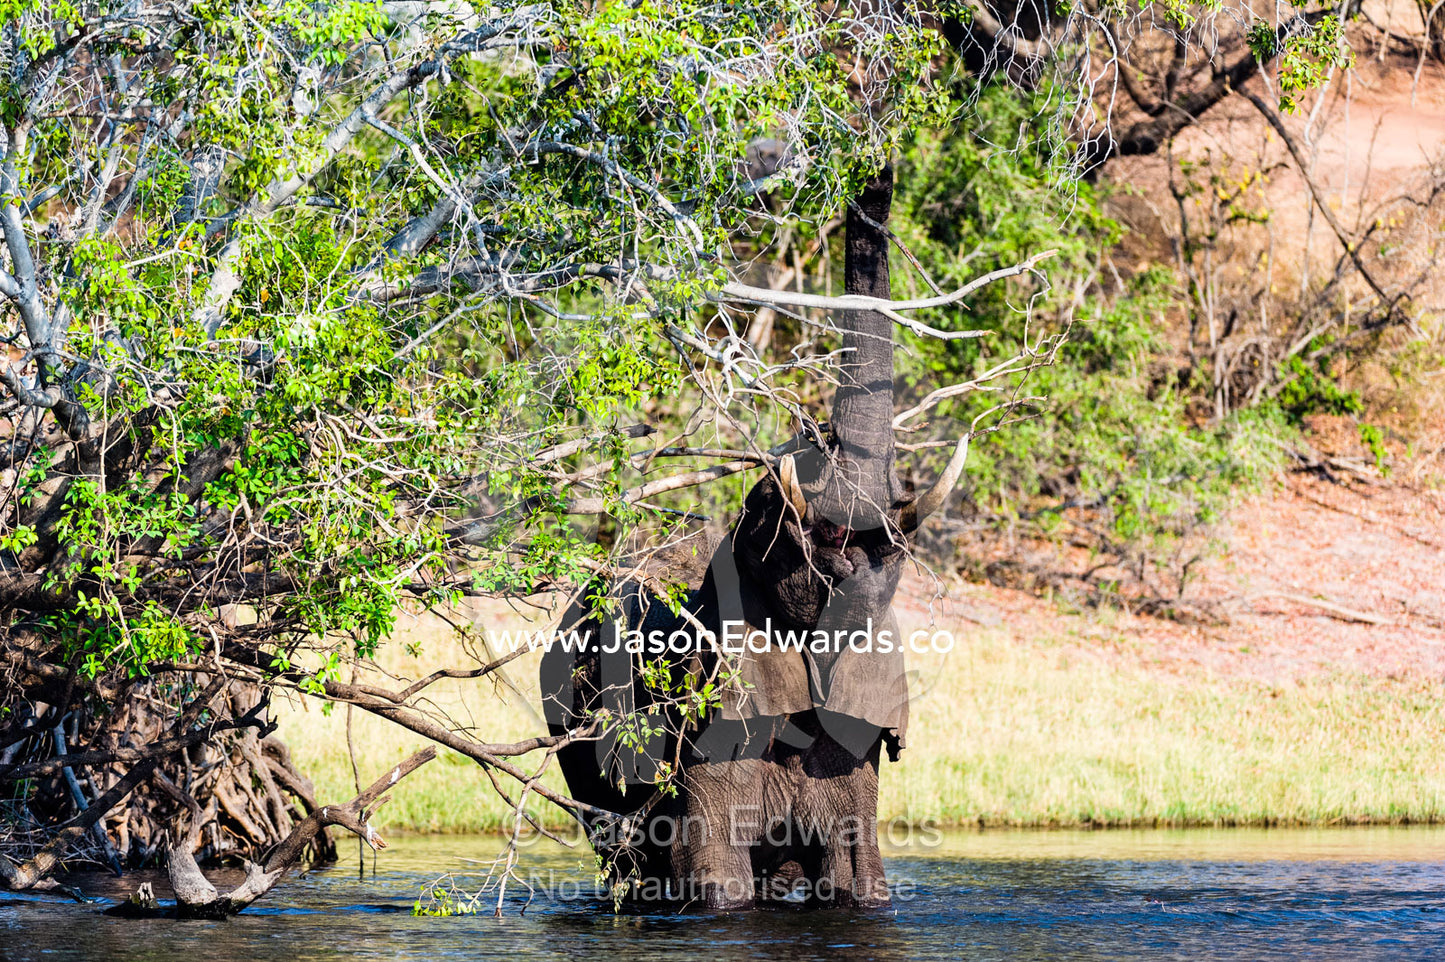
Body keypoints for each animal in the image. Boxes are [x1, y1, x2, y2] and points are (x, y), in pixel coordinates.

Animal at [539, 168, 966, 910]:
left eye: (896, 545)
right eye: (782, 511)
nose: (876, 172)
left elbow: (860, 879)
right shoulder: (716, 697)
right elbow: (716, 877)